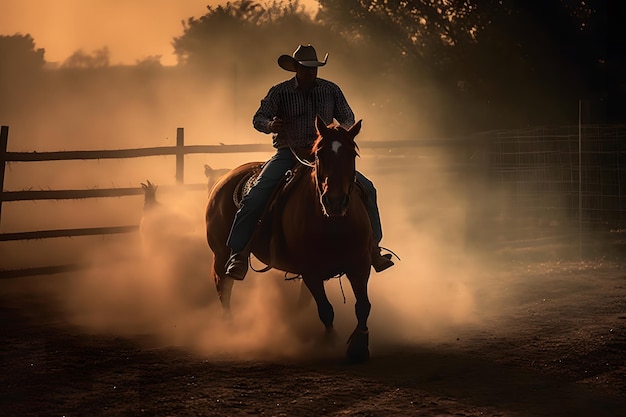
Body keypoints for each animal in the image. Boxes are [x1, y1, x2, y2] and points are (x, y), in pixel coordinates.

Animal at [205, 116, 372, 360]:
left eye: (353, 154)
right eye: (319, 154)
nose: (335, 202)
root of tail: (223, 178)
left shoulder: (360, 264)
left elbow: (363, 306)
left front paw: (359, 346)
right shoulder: (310, 271)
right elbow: (326, 310)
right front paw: (331, 342)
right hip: (220, 253)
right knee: (223, 286)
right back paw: (230, 328)